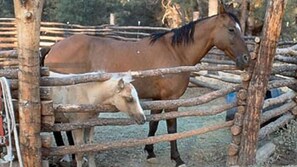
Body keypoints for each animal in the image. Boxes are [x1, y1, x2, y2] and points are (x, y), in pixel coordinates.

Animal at [40, 2, 249, 167]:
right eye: (231, 29)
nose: (247, 58)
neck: (176, 52)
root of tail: (53, 46)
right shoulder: (171, 99)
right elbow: (171, 128)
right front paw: (177, 159)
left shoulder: (158, 98)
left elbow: (154, 124)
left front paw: (150, 152)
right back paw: (69, 156)